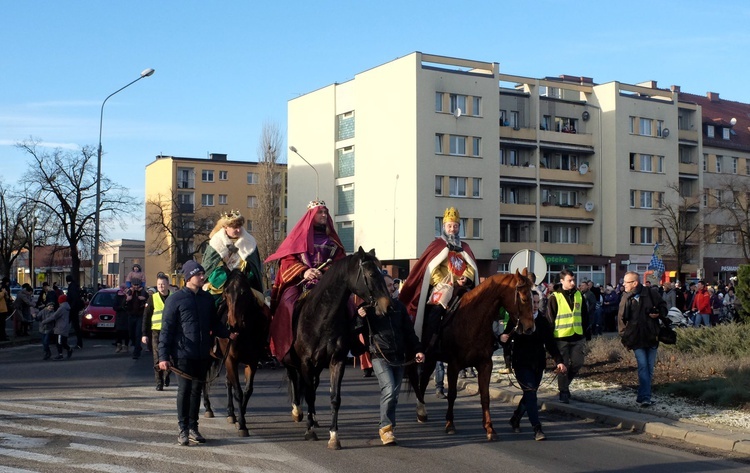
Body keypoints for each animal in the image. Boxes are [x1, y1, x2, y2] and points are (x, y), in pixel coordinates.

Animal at [201, 268, 268, 436]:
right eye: (226, 292)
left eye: (244, 292)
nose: (233, 325)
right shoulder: (231, 359)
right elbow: (238, 391)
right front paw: (242, 424)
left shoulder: (252, 361)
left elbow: (247, 390)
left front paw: (239, 418)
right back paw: (208, 407)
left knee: (226, 382)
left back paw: (230, 413)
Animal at [284, 247, 394, 450]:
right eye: (372, 274)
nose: (388, 306)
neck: (321, 319)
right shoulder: (305, 362)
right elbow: (308, 394)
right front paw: (309, 431)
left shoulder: (337, 361)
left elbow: (334, 398)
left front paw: (334, 436)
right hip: (291, 361)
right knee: (295, 380)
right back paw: (298, 412)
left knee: (311, 386)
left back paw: (314, 418)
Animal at [408, 268, 536, 440]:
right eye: (523, 298)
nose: (530, 328)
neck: (473, 320)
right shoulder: (454, 365)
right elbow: (452, 394)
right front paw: (450, 424)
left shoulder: (485, 364)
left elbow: (485, 396)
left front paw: (489, 428)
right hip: (429, 358)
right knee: (422, 381)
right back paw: (421, 412)